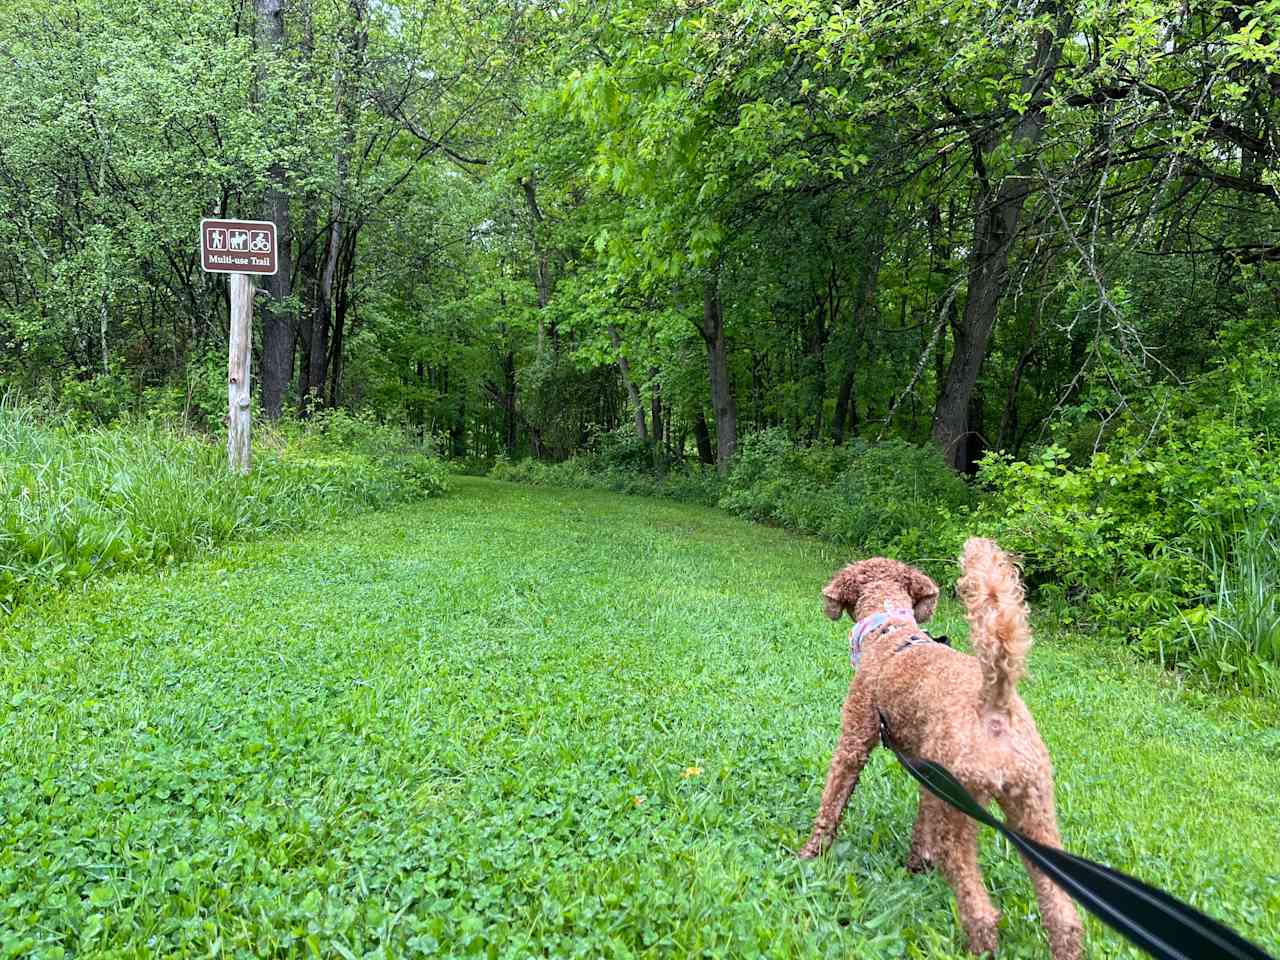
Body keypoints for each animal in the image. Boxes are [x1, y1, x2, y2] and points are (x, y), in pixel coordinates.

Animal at [798, 542, 1080, 960]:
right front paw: (915, 866)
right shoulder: (926, 773)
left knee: (979, 905)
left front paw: (810, 855)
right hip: (1033, 807)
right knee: (1064, 914)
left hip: (961, 805)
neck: (888, 630)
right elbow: (921, 826)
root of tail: (995, 704)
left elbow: (832, 802)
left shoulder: (855, 739)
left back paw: (977, 945)